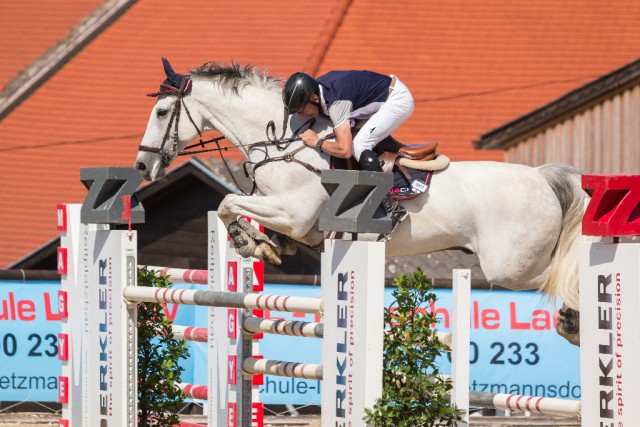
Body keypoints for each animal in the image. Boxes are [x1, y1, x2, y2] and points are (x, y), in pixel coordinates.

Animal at [135, 59, 584, 344]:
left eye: (161, 112)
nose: (142, 165)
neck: (282, 142)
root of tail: (542, 177)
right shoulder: (295, 224)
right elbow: (239, 209)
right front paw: (261, 243)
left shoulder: (295, 215)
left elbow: (229, 202)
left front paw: (249, 242)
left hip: (511, 266)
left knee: (562, 277)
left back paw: (575, 323)